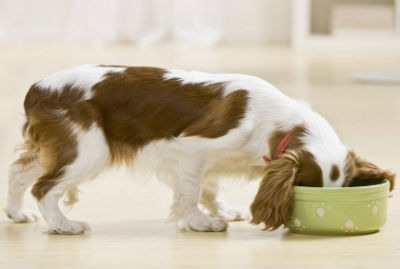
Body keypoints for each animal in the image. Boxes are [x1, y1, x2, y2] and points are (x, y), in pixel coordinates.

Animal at [4, 64, 396, 232]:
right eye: (304, 188)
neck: (277, 123)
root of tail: (38, 88)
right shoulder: (193, 150)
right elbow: (191, 192)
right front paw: (199, 222)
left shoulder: (211, 163)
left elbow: (209, 187)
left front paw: (220, 209)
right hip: (89, 150)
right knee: (45, 187)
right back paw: (62, 225)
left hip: (57, 147)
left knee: (19, 172)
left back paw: (17, 214)